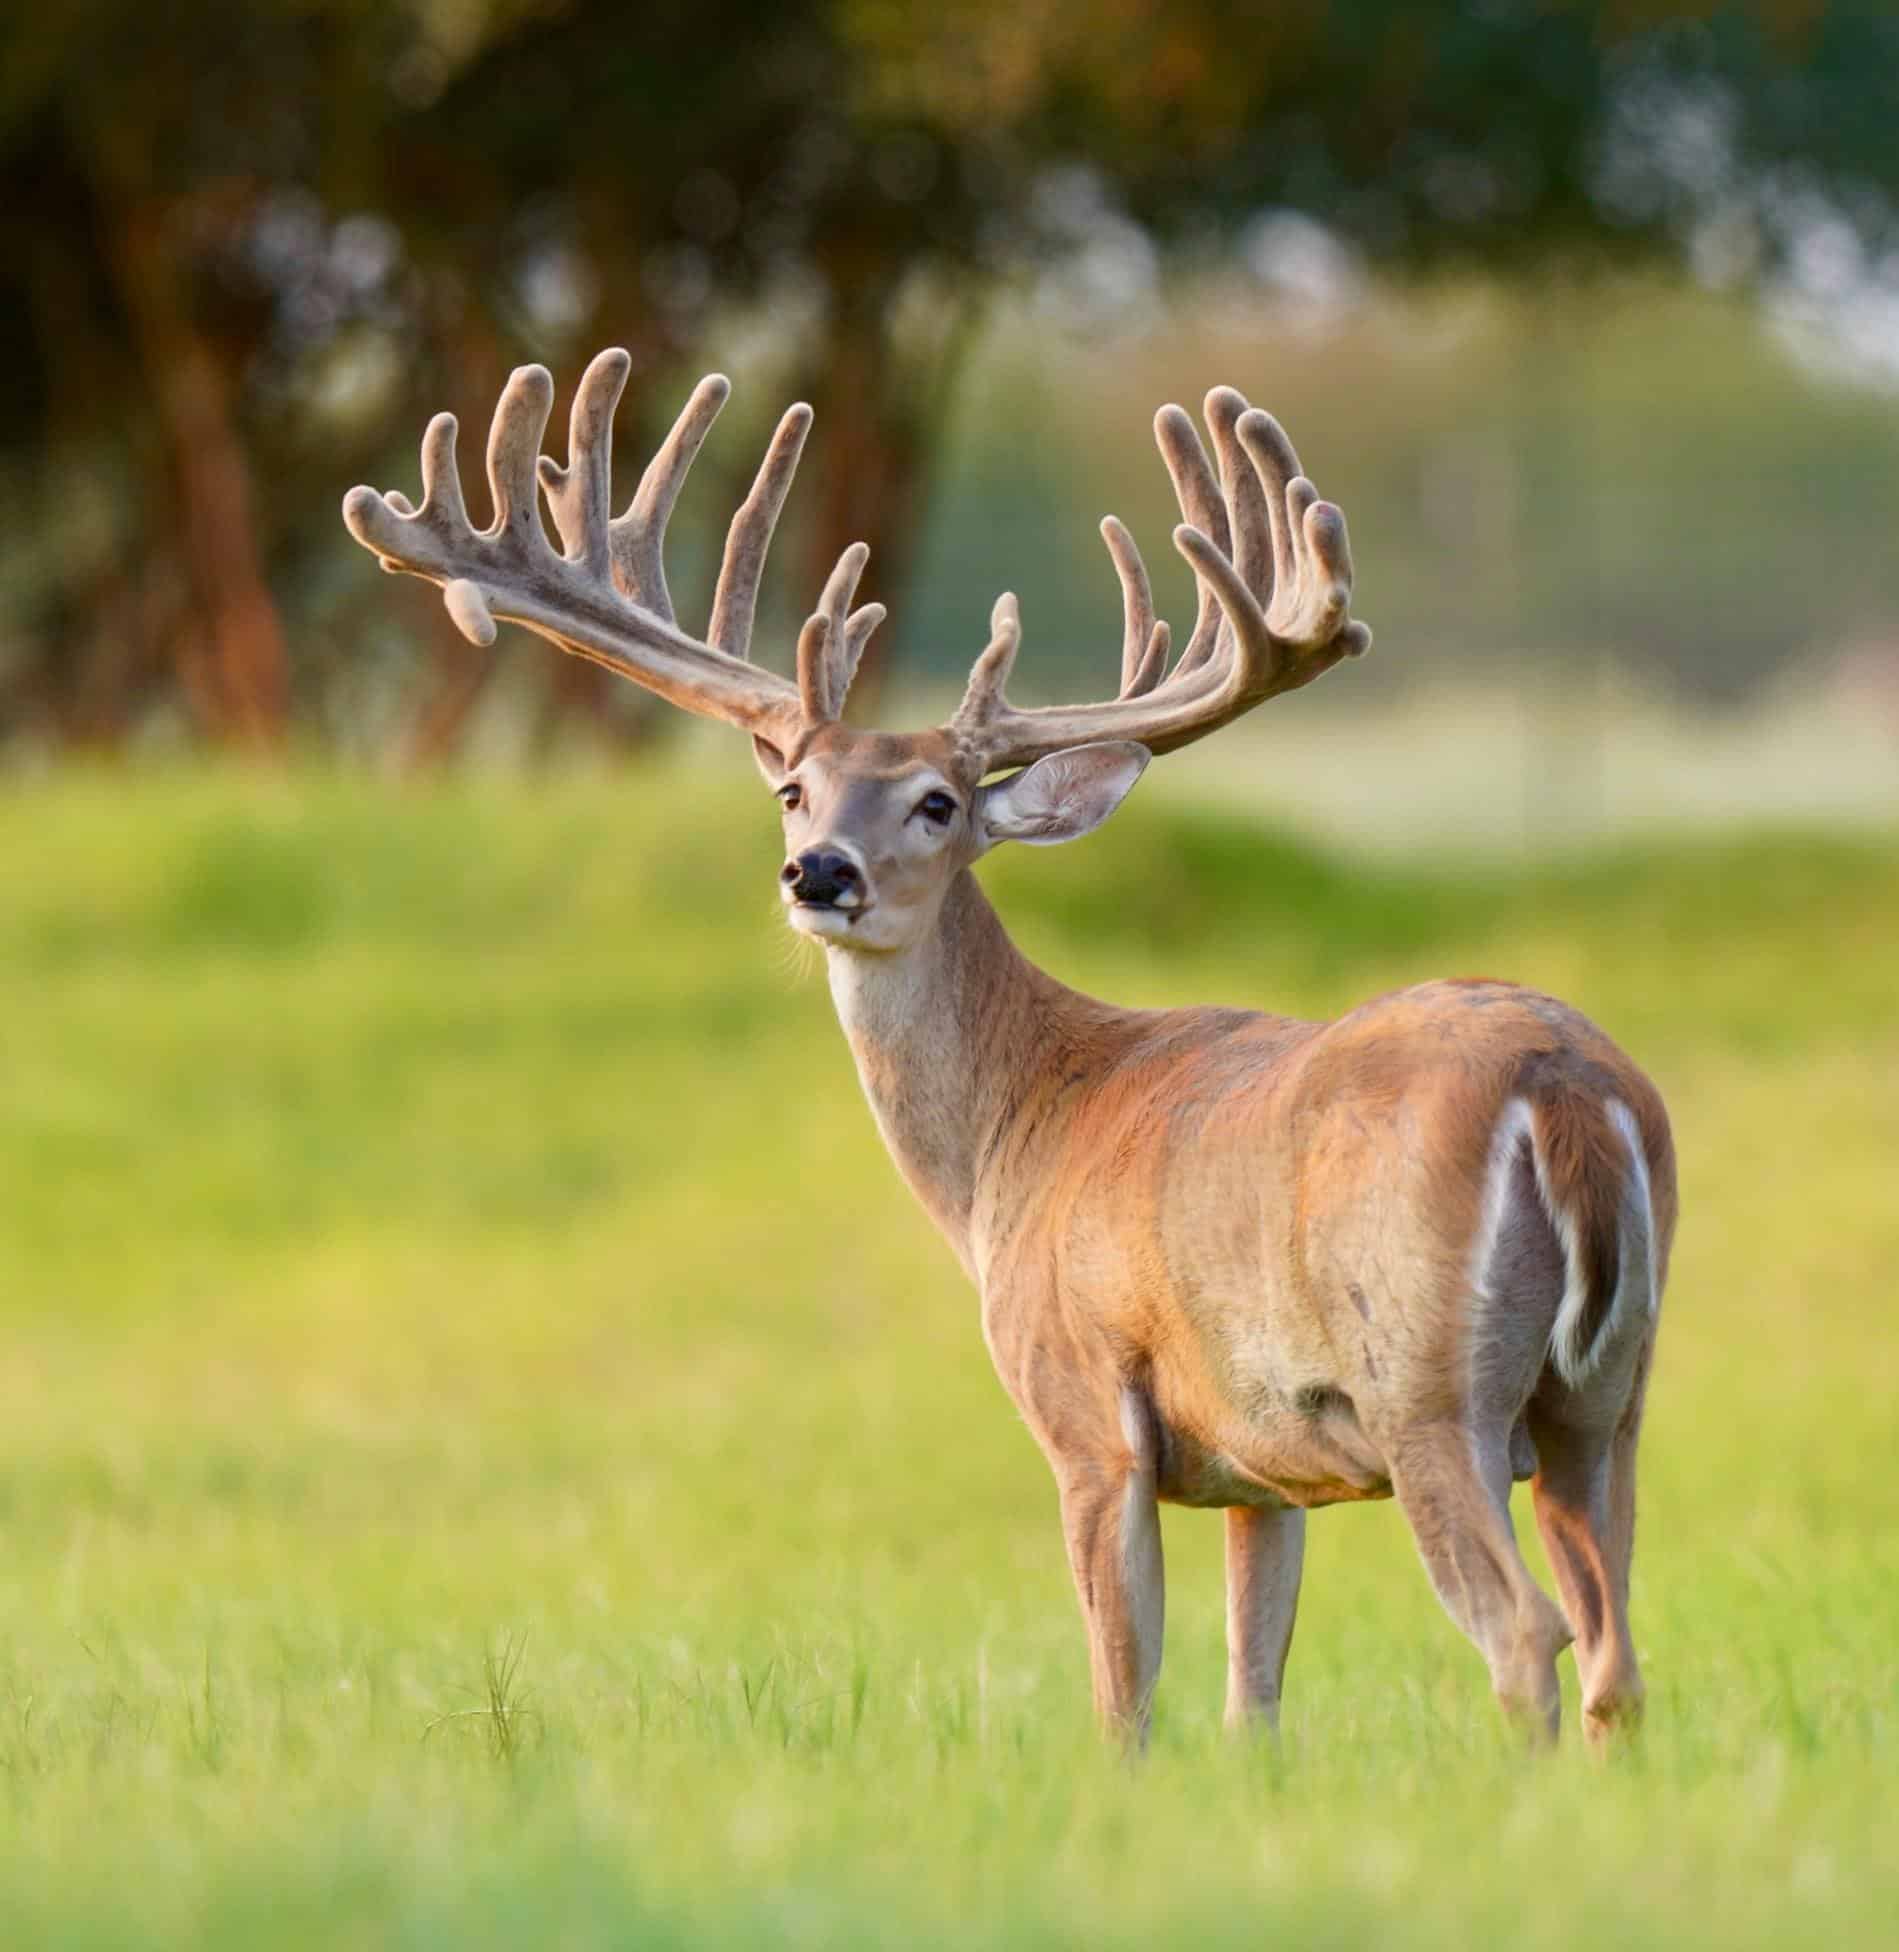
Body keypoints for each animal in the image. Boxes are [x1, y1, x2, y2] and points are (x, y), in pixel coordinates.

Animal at [344, 348, 1676, 1752]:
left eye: (937, 801)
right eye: (794, 790)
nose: (820, 872)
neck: (1012, 1140)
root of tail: (1566, 1087)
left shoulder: (1085, 1404)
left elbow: (1123, 1693)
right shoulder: (1262, 1466)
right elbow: (1249, 1695)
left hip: (1426, 1382)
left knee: (1528, 1631)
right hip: (1611, 1396)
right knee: (1617, 1650)